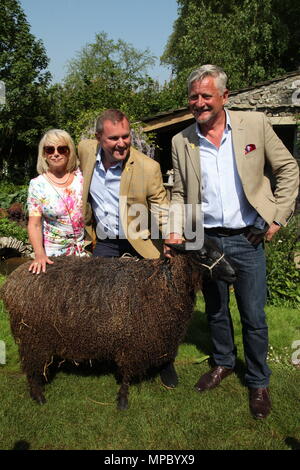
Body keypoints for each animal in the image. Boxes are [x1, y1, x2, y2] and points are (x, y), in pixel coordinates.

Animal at [0, 241, 236, 410]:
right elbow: (127, 374)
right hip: (31, 336)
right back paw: (38, 396)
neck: (161, 284)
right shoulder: (132, 343)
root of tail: (11, 281)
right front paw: (123, 400)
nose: (234, 273)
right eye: (202, 254)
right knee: (31, 369)